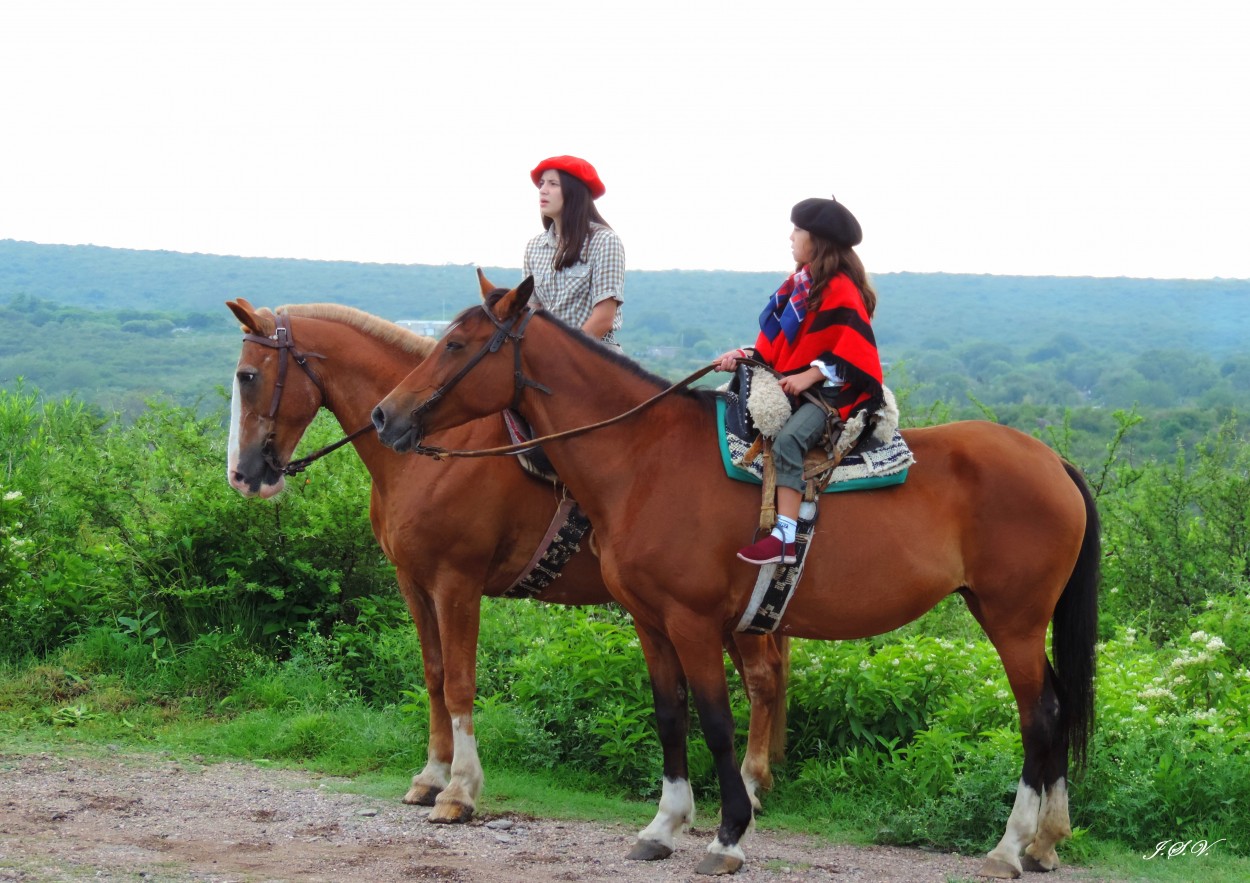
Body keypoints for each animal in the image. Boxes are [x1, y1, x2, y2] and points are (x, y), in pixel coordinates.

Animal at [225, 301, 785, 825]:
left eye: (247, 376)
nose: (243, 474)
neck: (437, 450)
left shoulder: (456, 583)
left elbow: (459, 682)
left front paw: (459, 789)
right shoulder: (414, 583)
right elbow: (433, 675)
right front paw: (431, 775)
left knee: (762, 679)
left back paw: (750, 784)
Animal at [365, 276, 1100, 875]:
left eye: (458, 345)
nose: (384, 415)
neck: (644, 458)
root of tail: (1054, 462)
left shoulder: (691, 622)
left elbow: (716, 721)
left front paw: (727, 834)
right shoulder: (650, 622)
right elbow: (670, 714)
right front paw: (663, 825)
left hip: (1013, 620)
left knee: (1038, 716)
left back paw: (1009, 845)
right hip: (1008, 616)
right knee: (1059, 707)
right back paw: (1045, 841)